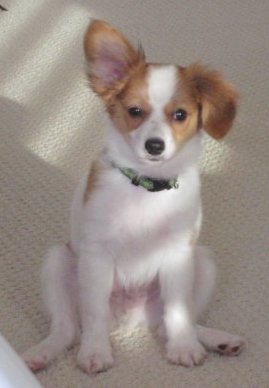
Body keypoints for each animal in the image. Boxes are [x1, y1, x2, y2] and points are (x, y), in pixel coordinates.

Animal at [23, 20, 243, 372]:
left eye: (180, 115)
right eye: (135, 111)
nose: (154, 146)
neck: (146, 189)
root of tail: (130, 319)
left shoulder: (178, 255)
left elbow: (178, 312)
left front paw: (184, 348)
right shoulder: (97, 255)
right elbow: (94, 313)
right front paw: (96, 352)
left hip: (203, 262)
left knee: (171, 322)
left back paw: (215, 339)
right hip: (57, 261)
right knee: (68, 328)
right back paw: (42, 353)